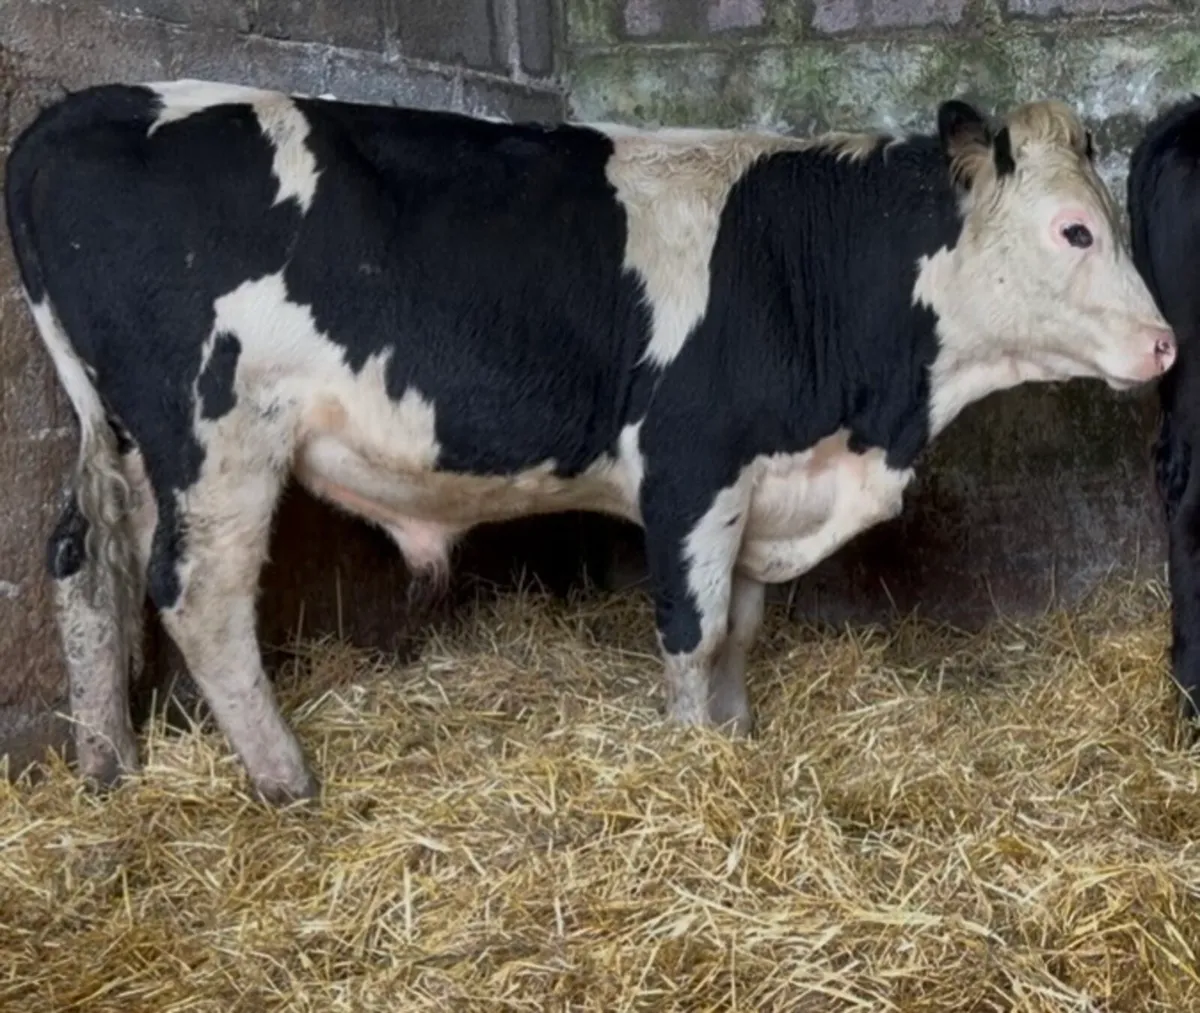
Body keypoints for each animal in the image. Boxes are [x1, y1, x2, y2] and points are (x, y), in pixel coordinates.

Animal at [4, 80, 1175, 804]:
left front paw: (734, 740)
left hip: (127, 439)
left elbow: (742, 628)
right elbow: (696, 630)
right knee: (199, 595)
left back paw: (110, 766)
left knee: (86, 568)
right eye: (1075, 230)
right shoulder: (691, 467)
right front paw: (694, 757)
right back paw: (287, 777)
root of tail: (86, 109)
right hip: (218, 431)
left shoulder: (759, 484)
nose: (1167, 343)